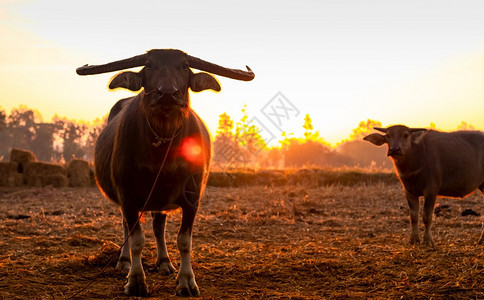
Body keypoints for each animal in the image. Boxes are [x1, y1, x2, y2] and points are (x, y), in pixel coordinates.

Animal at [75, 48, 253, 296]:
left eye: (184, 66)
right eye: (149, 65)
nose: (167, 93)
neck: (162, 148)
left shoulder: (192, 197)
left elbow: (184, 240)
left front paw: (186, 281)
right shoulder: (127, 195)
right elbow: (137, 239)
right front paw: (136, 281)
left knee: (159, 225)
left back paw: (164, 262)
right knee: (127, 227)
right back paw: (124, 261)